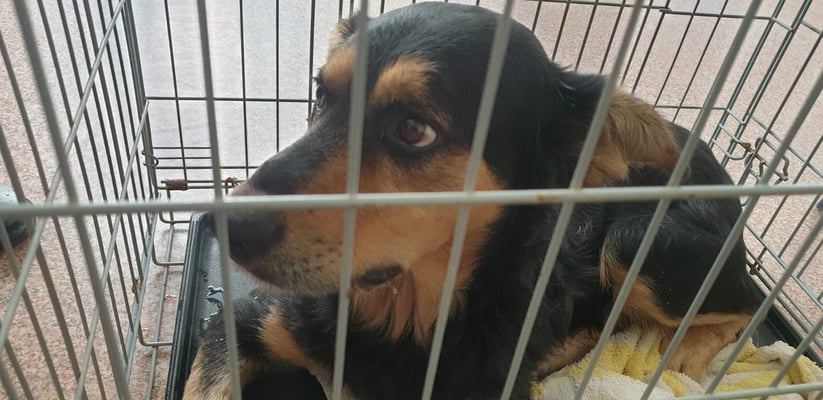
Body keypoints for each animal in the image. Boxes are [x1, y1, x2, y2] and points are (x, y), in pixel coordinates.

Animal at [183, 3, 764, 399]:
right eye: (322, 95)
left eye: (414, 129)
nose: (229, 225)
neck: (408, 316)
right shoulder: (241, 323)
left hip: (639, 239)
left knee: (747, 305)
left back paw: (680, 353)